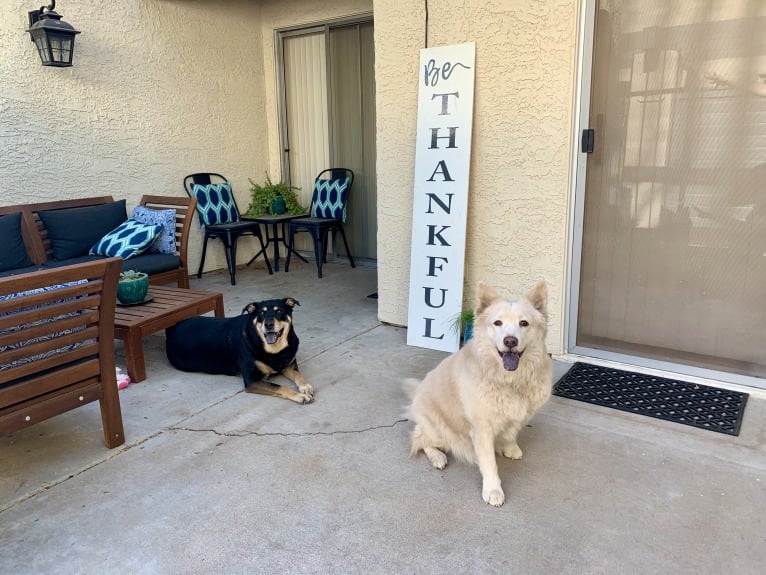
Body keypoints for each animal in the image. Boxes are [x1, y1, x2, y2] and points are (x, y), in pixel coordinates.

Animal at [166, 296, 316, 404]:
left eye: (279, 311)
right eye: (261, 313)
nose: (268, 324)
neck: (274, 350)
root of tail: (172, 328)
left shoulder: (289, 365)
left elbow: (298, 375)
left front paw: (305, 387)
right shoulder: (252, 380)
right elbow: (278, 386)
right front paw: (299, 395)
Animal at [408, 282, 552, 506]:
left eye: (524, 323)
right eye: (498, 323)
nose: (510, 341)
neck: (508, 380)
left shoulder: (518, 414)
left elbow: (511, 432)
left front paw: (509, 447)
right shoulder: (482, 428)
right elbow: (489, 463)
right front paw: (493, 491)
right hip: (440, 428)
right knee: (419, 438)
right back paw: (438, 457)